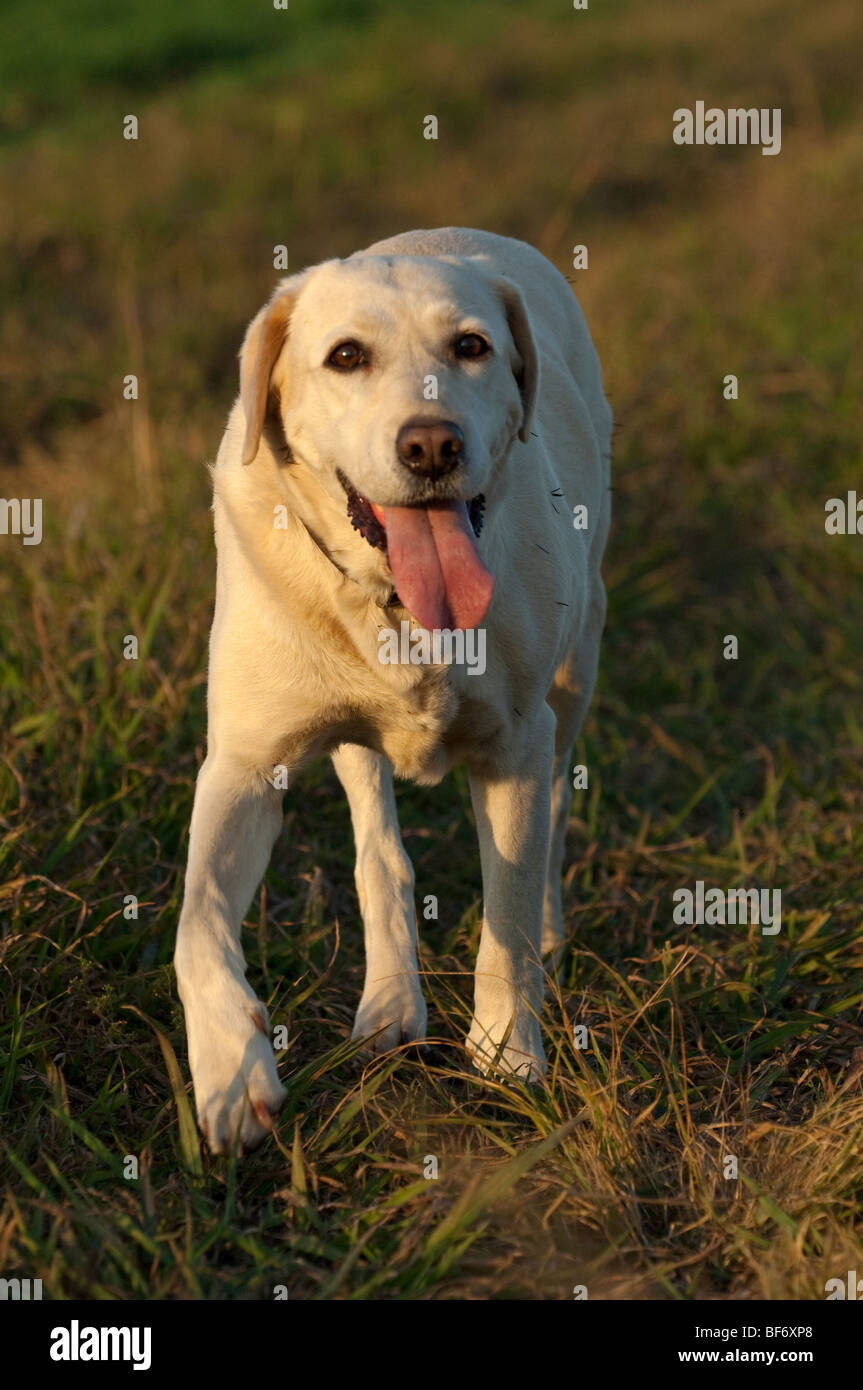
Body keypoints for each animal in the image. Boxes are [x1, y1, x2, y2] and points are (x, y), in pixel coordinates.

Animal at [171, 227, 608, 1156]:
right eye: (346, 357)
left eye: (472, 347)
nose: (431, 446)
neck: (399, 605)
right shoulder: (242, 766)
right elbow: (196, 924)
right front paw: (232, 1069)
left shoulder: (515, 746)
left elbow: (506, 913)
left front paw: (506, 1054)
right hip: (350, 740)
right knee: (378, 847)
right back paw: (387, 1004)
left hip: (576, 669)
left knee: (556, 807)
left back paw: (548, 932)